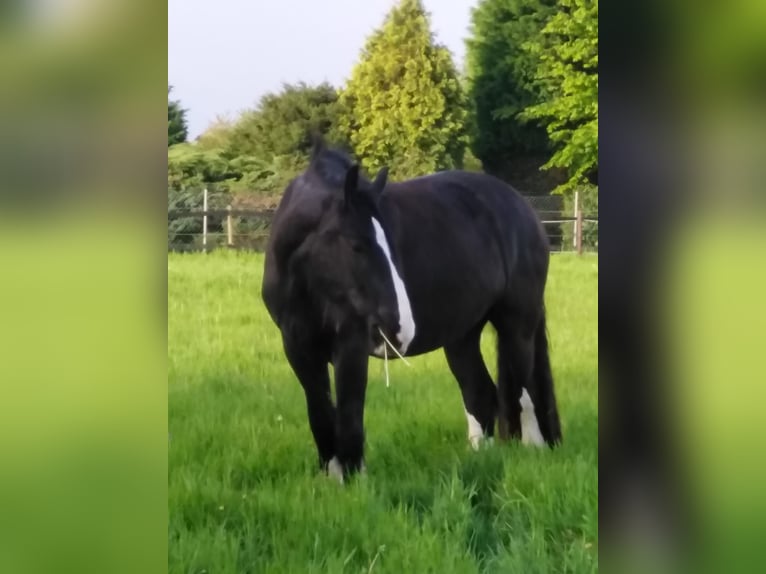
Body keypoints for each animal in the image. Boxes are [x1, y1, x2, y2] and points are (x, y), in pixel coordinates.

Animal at [262, 141, 561, 482]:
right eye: (356, 244)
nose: (398, 328)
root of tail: (522, 206)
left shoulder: (350, 346)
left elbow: (350, 417)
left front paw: (354, 482)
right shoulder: (298, 348)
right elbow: (322, 417)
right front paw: (334, 480)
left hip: (517, 325)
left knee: (526, 394)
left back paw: (533, 452)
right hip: (462, 336)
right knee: (481, 394)